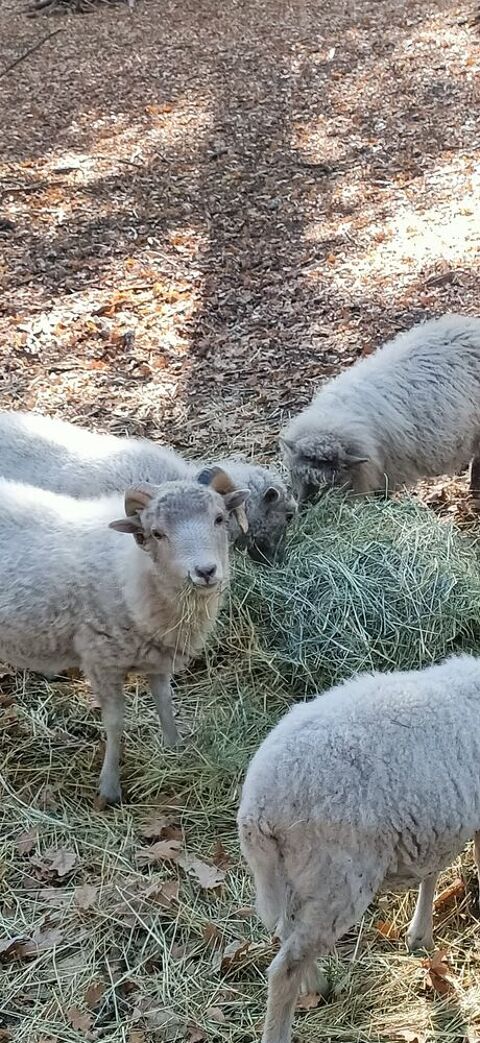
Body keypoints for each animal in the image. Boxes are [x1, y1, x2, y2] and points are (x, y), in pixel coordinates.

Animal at [0, 469, 247, 804]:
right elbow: (115, 722)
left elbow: (165, 702)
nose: (205, 571)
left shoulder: (158, 654)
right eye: (157, 533)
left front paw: (175, 749)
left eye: (219, 518)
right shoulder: (100, 659)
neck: (133, 570)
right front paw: (110, 786)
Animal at [238, 655, 480, 1043]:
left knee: (287, 932)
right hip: (339, 879)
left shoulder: (437, 819)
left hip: (295, 872)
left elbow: (432, 871)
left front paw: (420, 936)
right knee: (284, 968)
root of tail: (257, 810)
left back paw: (317, 985)